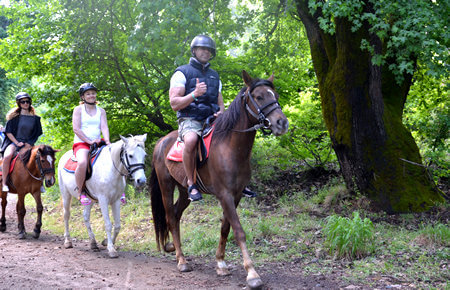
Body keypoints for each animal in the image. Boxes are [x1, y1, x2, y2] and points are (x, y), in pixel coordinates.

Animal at [150, 69, 288, 288]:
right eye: (258, 97)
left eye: (275, 95)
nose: (281, 123)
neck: (230, 147)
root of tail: (161, 142)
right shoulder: (224, 195)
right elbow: (238, 231)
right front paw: (252, 274)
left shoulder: (236, 195)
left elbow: (225, 228)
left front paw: (221, 263)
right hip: (166, 186)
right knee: (171, 218)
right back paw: (181, 260)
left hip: (184, 190)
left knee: (177, 215)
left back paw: (174, 248)